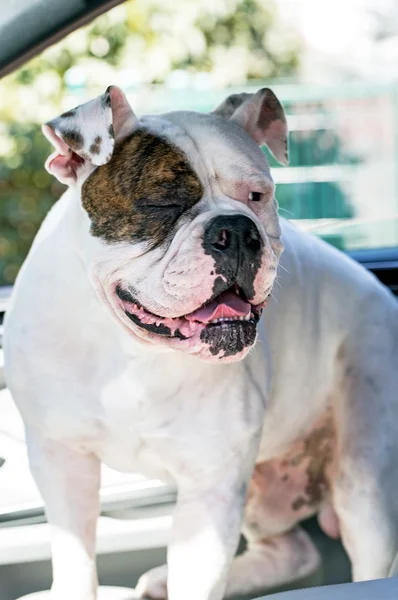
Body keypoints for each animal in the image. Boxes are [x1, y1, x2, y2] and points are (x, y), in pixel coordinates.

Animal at [3, 86, 398, 600]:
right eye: (161, 204)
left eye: (257, 196)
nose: (239, 231)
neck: (133, 349)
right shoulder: (61, 463)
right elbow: (75, 564)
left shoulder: (212, 490)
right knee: (292, 549)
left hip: (361, 471)